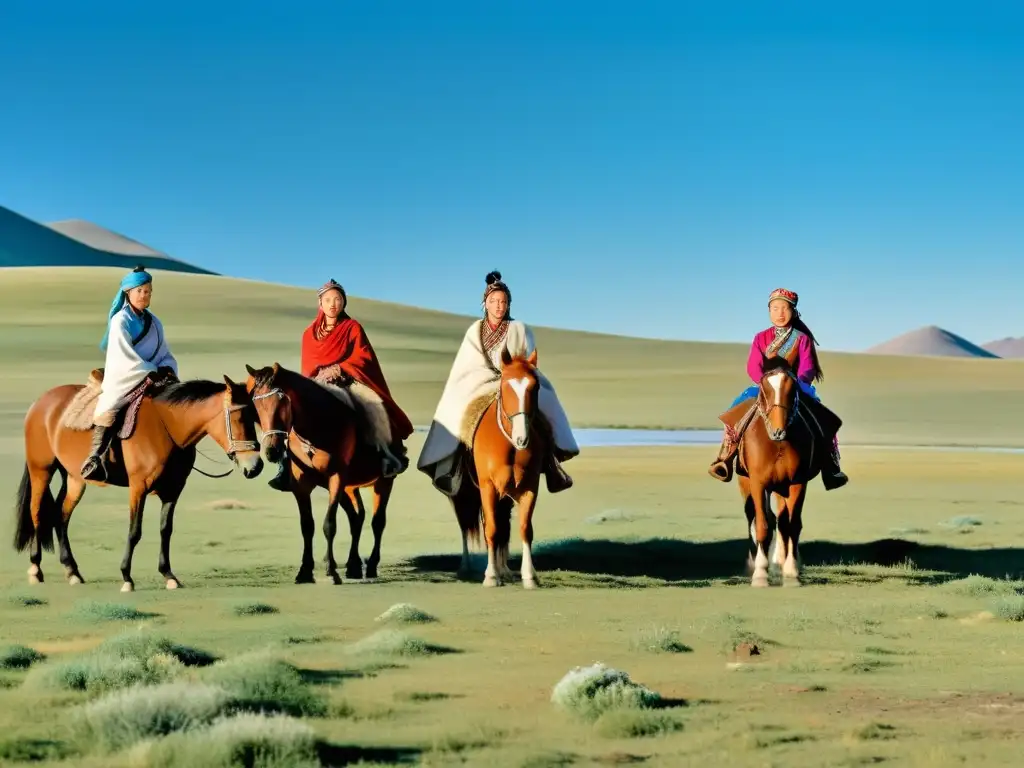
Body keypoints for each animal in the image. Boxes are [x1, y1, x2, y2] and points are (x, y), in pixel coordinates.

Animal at [13, 376, 264, 593]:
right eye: (238, 418)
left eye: (255, 416)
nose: (255, 466)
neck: (167, 427)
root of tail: (41, 402)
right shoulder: (138, 487)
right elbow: (135, 531)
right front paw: (127, 577)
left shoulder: (173, 490)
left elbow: (166, 530)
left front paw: (169, 575)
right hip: (41, 471)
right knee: (37, 512)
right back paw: (36, 569)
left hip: (74, 478)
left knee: (61, 516)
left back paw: (72, 571)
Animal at [241, 364, 401, 585]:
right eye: (256, 405)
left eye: (282, 402)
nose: (272, 451)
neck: (318, 427)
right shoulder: (300, 484)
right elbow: (307, 526)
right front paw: (305, 571)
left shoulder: (336, 478)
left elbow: (329, 524)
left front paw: (331, 570)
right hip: (350, 488)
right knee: (356, 518)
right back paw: (353, 565)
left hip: (383, 482)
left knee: (377, 522)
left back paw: (371, 566)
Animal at [448, 348, 544, 589]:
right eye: (506, 386)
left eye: (535, 386)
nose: (522, 439)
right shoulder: (487, 487)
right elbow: (490, 529)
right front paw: (490, 576)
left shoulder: (530, 487)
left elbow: (524, 529)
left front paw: (529, 576)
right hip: (466, 492)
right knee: (467, 523)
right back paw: (466, 567)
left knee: (503, 525)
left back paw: (504, 569)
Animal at [720, 354, 839, 589]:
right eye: (764, 387)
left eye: (793, 388)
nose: (778, 431)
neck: (777, 444)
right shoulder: (758, 483)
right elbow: (762, 525)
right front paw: (760, 573)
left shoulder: (797, 482)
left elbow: (792, 525)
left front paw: (791, 572)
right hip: (745, 481)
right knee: (754, 516)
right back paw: (755, 562)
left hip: (781, 487)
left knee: (782, 521)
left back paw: (782, 561)